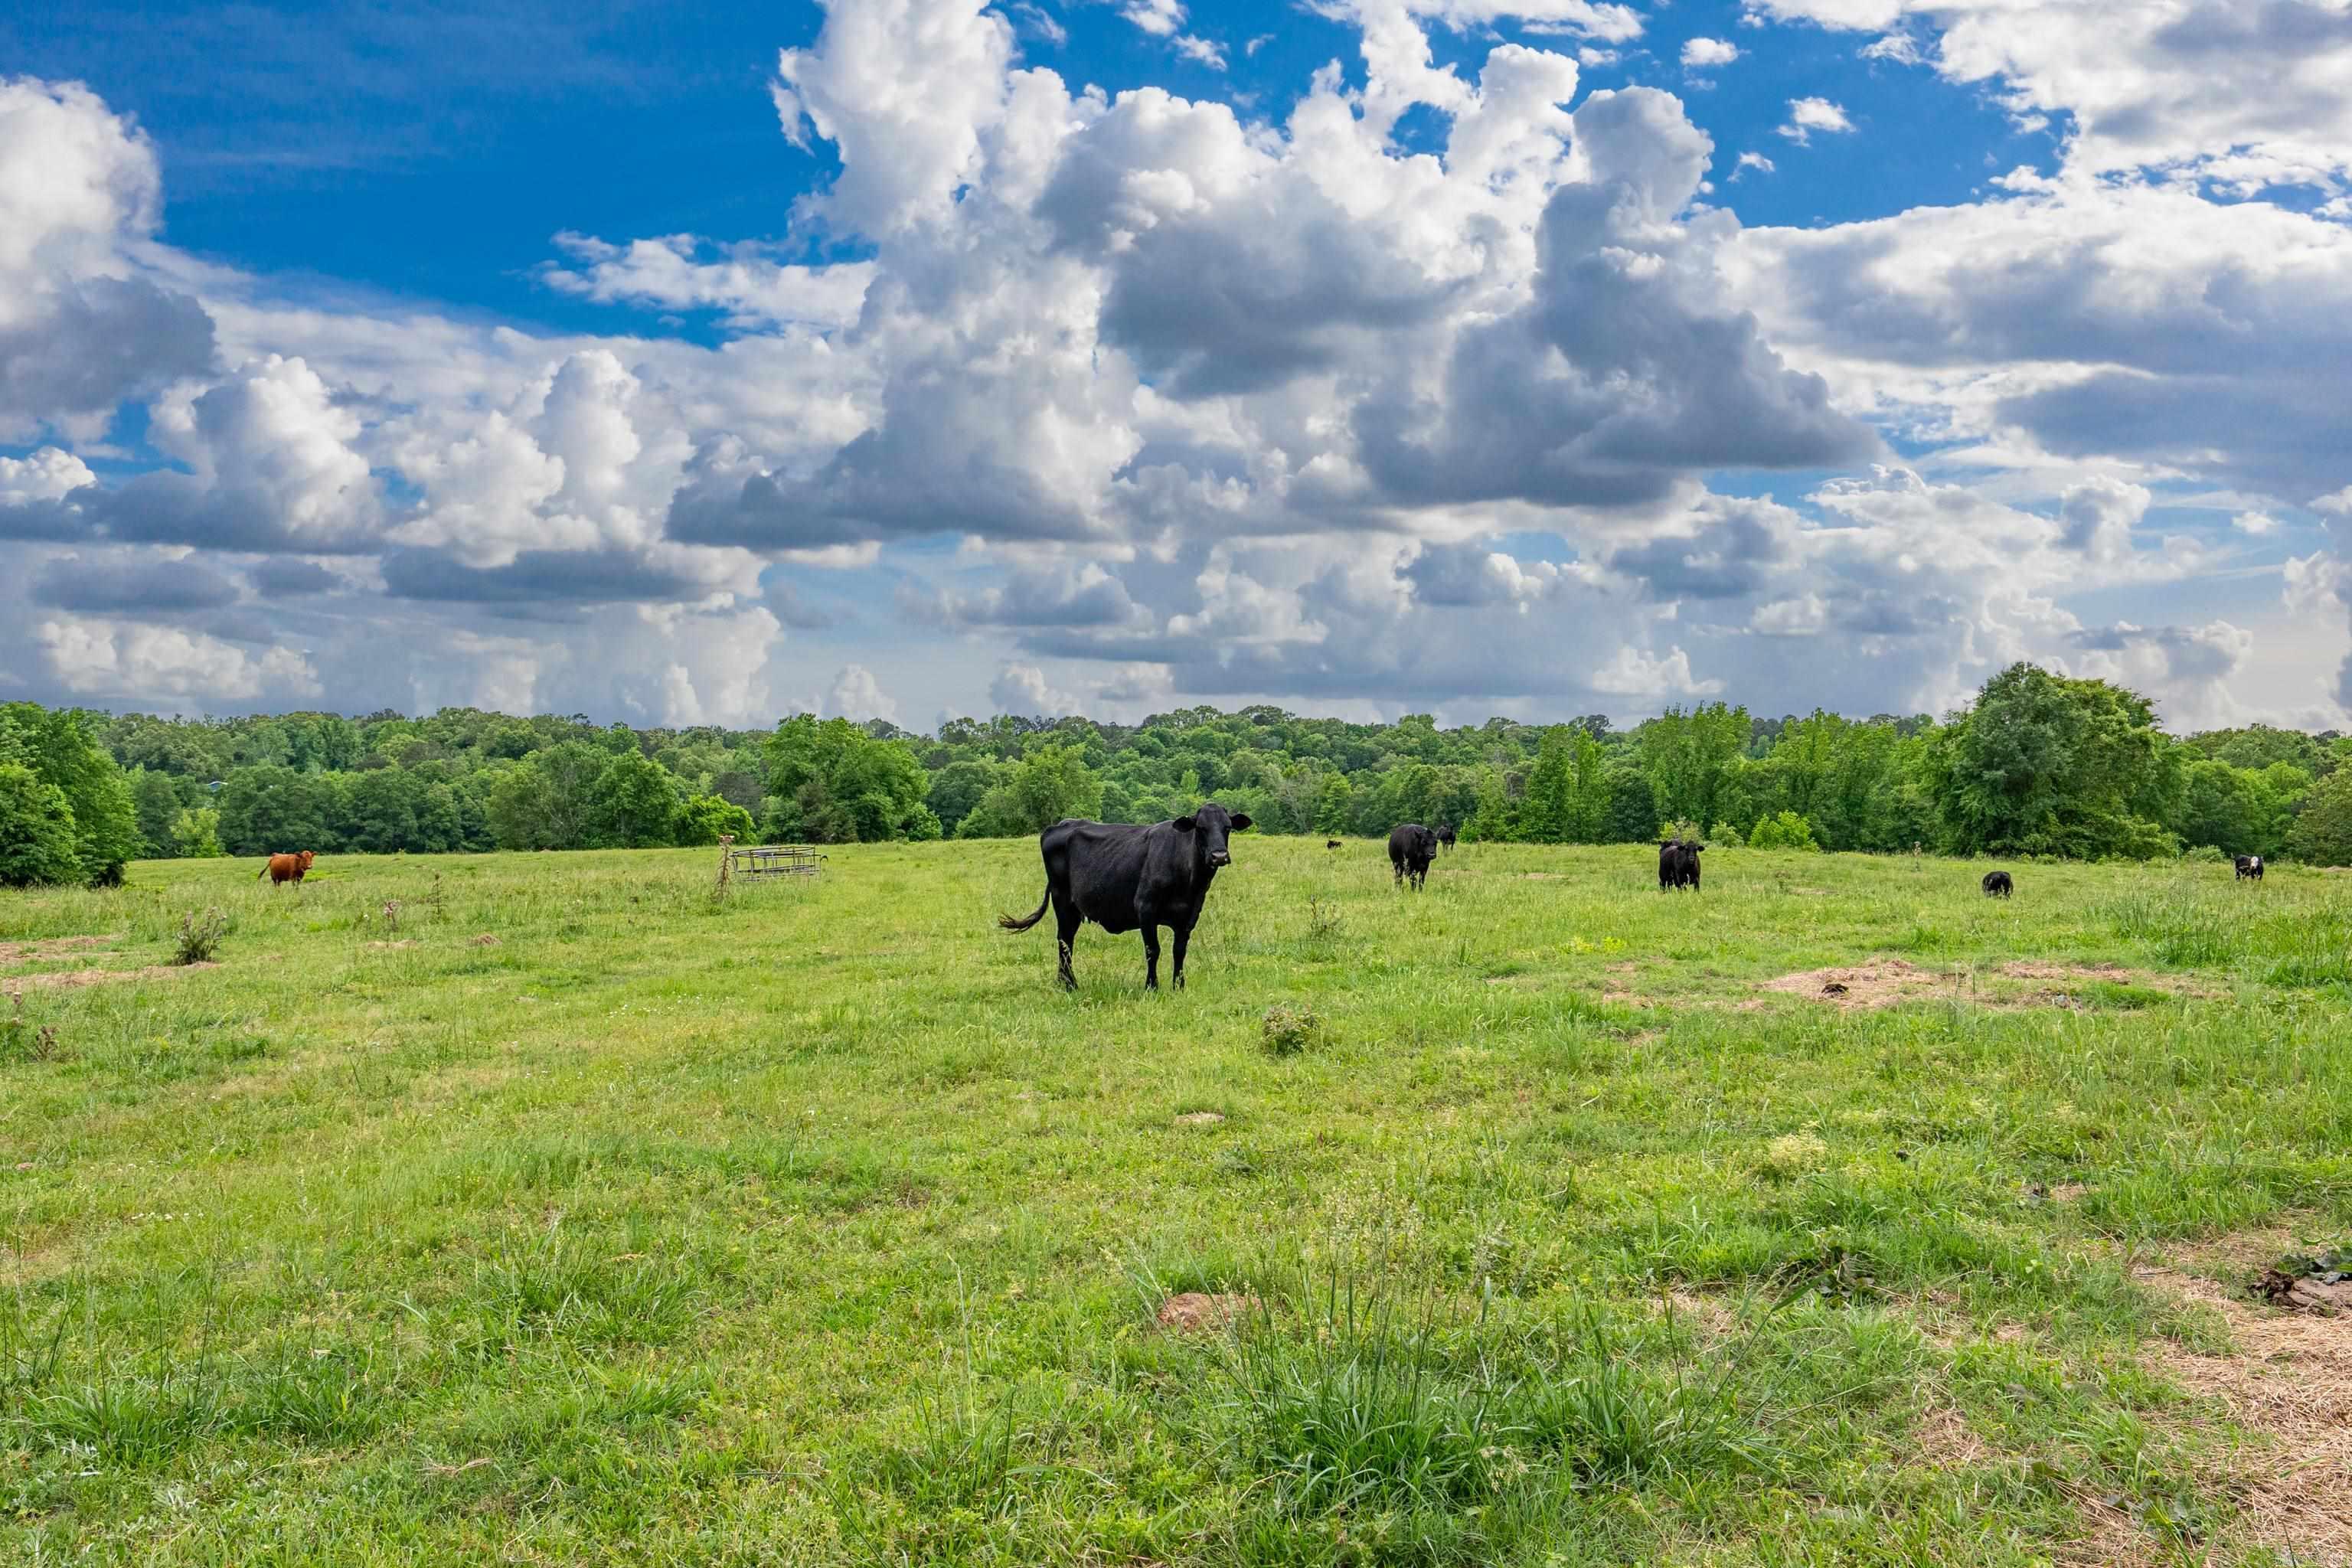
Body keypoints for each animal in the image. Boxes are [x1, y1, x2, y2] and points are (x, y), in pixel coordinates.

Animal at [998, 804, 1251, 991]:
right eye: (1200, 828)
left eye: (1227, 827)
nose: (1219, 856)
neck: (1187, 879)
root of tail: (1061, 824)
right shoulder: (1146, 909)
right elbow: (1153, 950)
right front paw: (1151, 987)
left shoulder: (1189, 915)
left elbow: (1179, 951)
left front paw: (1178, 986)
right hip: (1063, 900)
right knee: (1065, 941)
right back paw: (1070, 984)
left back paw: (1064, 982)